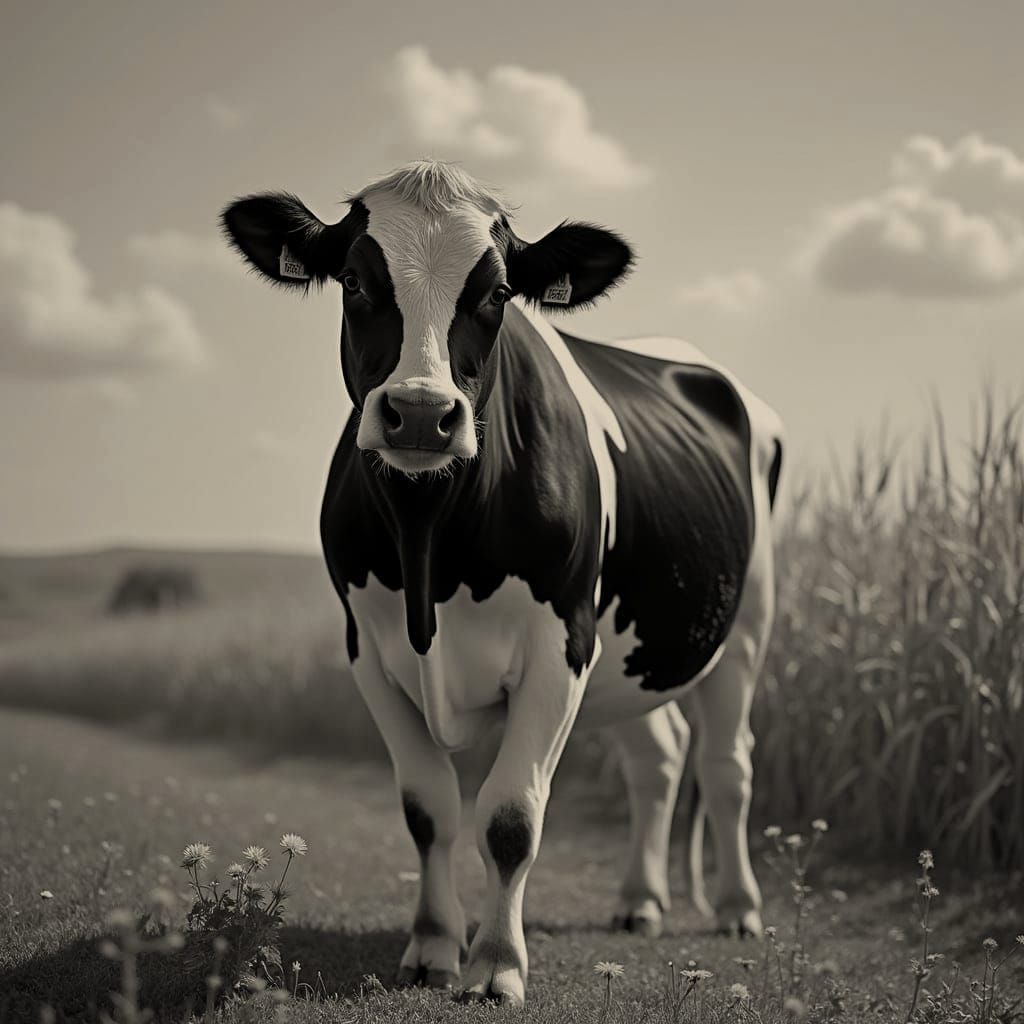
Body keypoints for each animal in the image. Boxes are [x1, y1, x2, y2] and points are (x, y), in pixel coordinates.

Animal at [221, 160, 783, 1007]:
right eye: (353, 281)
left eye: (497, 292)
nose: (422, 414)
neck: (429, 547)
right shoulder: (369, 652)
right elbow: (428, 808)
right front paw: (431, 947)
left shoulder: (561, 644)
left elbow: (511, 816)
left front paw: (495, 965)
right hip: (630, 643)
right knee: (658, 756)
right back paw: (639, 902)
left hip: (742, 622)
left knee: (728, 767)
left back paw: (739, 909)